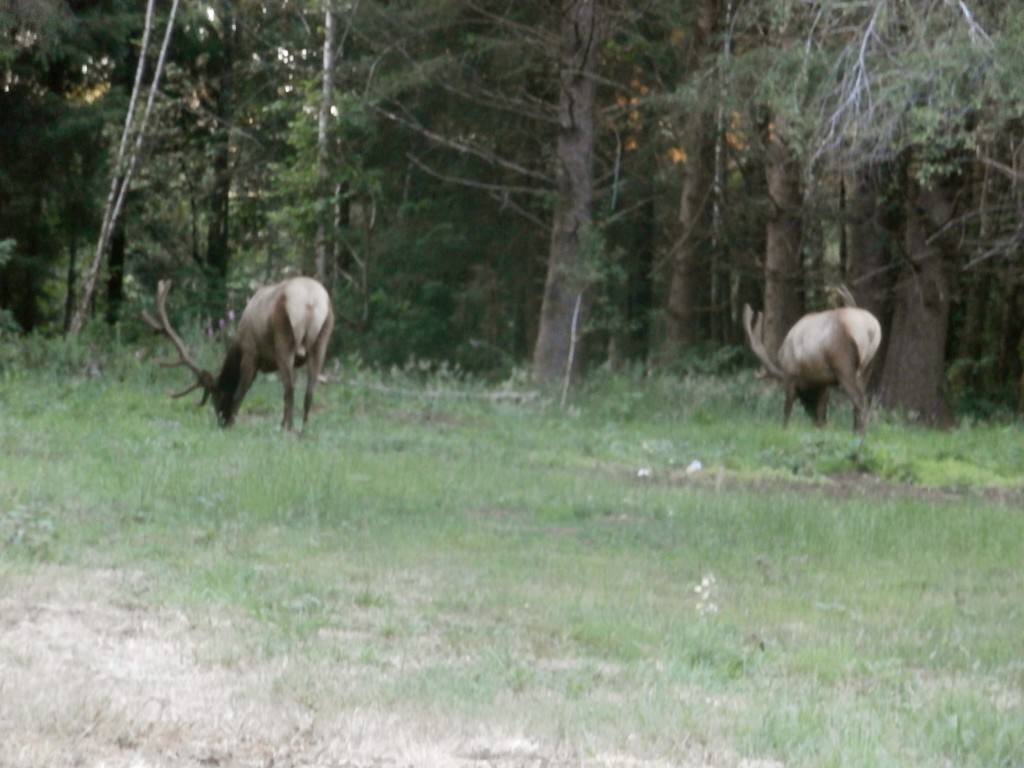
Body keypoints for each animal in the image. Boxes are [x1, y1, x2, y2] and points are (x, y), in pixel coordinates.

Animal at [142, 278, 333, 434]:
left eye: (216, 395)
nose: (222, 420)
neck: (238, 345)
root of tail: (310, 301)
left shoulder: (251, 352)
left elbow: (241, 390)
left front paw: (232, 423)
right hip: (322, 339)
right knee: (308, 391)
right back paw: (302, 429)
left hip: (284, 340)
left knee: (290, 388)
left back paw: (288, 428)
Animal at [741, 301, 884, 434]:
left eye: (804, 398)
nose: (812, 418)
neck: (807, 379)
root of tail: (871, 328)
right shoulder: (823, 382)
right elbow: (822, 409)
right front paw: (820, 429)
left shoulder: (790, 374)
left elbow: (787, 408)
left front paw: (784, 429)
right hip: (867, 369)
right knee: (864, 401)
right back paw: (856, 431)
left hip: (844, 367)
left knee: (859, 400)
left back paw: (859, 434)